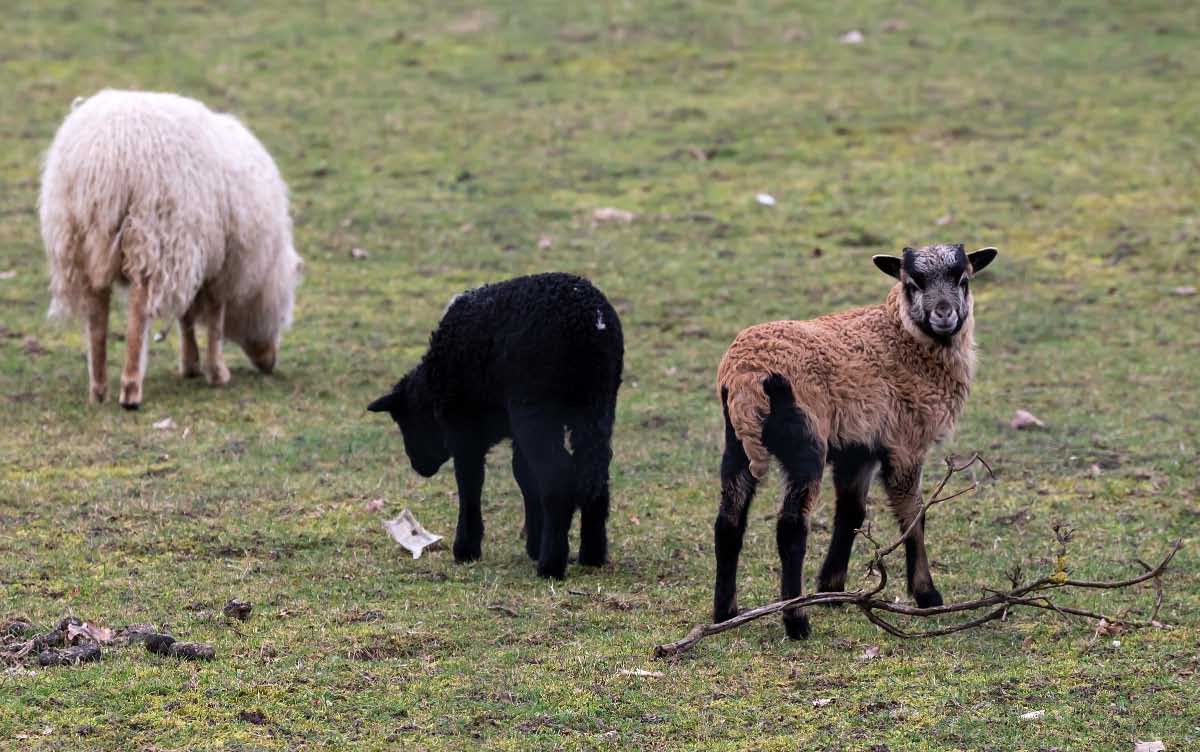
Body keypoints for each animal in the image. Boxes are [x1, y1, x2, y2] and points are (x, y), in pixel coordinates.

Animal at [39, 89, 302, 409]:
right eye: (283, 313)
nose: (270, 363)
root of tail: (106, 155)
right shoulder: (219, 263)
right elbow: (215, 318)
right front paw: (217, 372)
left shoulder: (191, 255)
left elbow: (186, 314)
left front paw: (191, 365)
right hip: (150, 234)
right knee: (139, 313)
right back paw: (130, 389)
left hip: (81, 244)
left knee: (96, 316)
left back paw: (99, 389)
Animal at [368, 272, 624, 579]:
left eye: (406, 421)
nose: (419, 467)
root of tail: (591, 322)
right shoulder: (515, 433)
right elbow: (524, 476)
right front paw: (533, 544)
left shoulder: (464, 429)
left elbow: (469, 482)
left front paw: (466, 549)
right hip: (598, 405)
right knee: (594, 473)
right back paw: (591, 555)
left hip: (536, 409)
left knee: (559, 476)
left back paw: (550, 565)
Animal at [712, 244, 998, 639]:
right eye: (912, 283)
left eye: (963, 279)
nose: (944, 313)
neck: (901, 336)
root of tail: (746, 377)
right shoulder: (905, 442)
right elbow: (913, 514)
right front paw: (927, 595)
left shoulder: (858, 448)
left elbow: (851, 512)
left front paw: (832, 588)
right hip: (806, 443)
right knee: (790, 527)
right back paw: (796, 621)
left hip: (737, 443)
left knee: (728, 521)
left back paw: (724, 613)